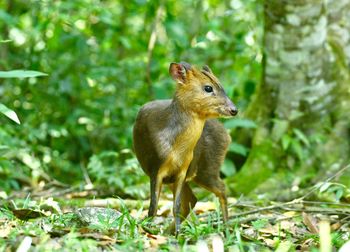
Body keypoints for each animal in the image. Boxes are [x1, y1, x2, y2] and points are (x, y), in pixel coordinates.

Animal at [132, 62, 238, 235]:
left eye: (221, 84)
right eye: (208, 88)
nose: (234, 110)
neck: (176, 150)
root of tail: (227, 136)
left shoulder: (183, 170)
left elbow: (175, 205)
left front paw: (176, 233)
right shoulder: (156, 167)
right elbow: (153, 207)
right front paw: (147, 231)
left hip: (207, 166)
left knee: (220, 189)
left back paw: (227, 228)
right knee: (194, 198)